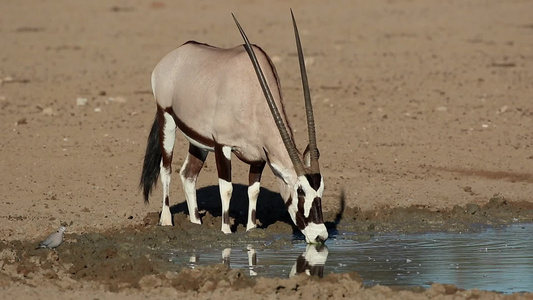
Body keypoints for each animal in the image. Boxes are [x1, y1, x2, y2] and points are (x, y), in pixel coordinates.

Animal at [139, 11, 326, 244]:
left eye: (321, 190)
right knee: (166, 169)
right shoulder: (223, 145)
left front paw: (251, 229)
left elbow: (253, 190)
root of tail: (174, 56)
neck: (253, 93)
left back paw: (196, 224)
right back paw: (166, 221)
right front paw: (226, 230)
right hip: (167, 118)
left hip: (199, 141)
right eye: (300, 191)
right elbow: (226, 188)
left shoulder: (258, 156)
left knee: (188, 174)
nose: (320, 235)